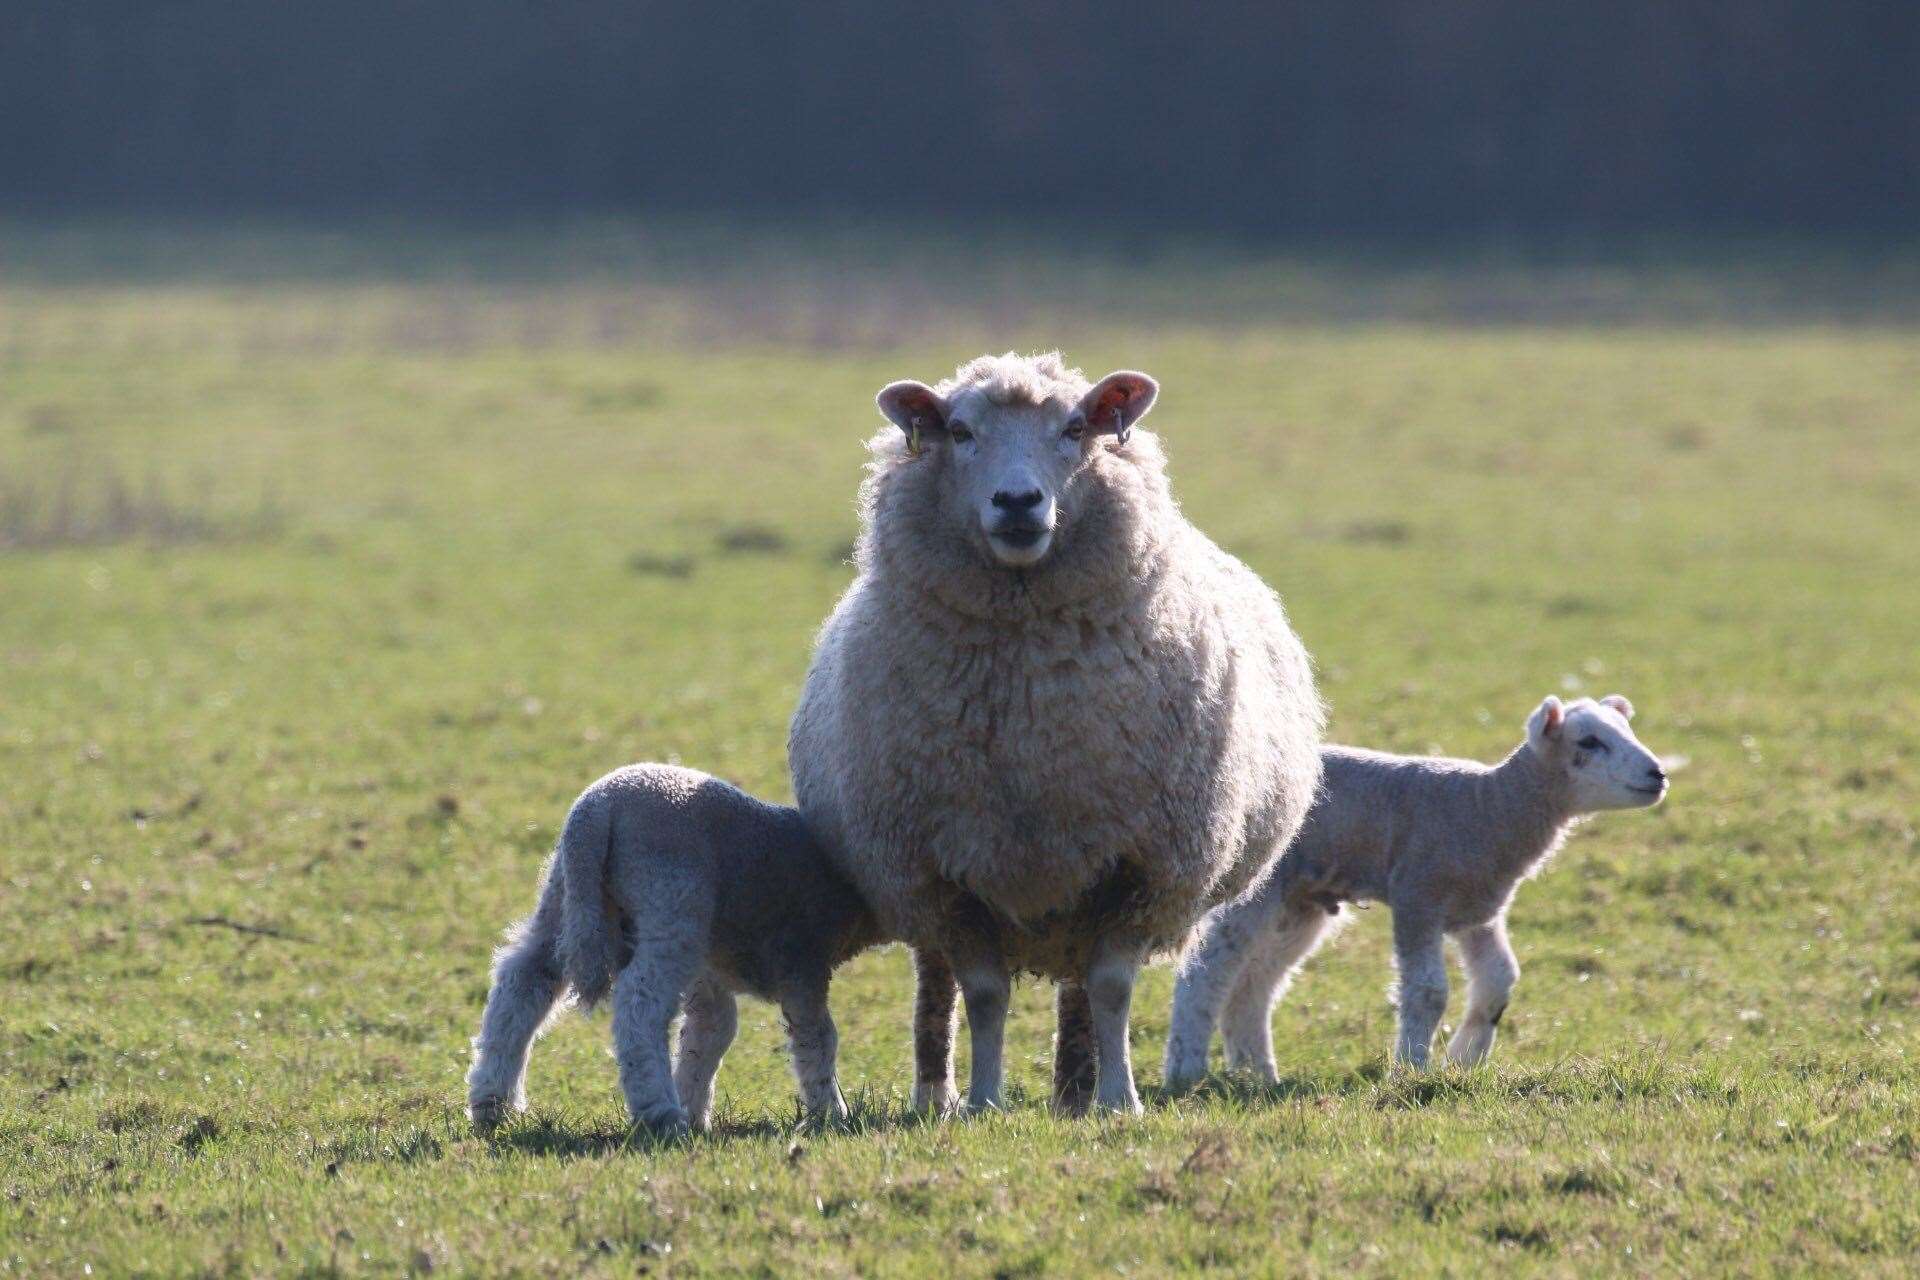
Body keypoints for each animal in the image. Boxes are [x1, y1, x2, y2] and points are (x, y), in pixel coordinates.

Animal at [464, 767, 883, 1136]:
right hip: (671, 901)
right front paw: (831, 1113)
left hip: (566, 896)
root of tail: (597, 810)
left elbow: (709, 1031)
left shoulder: (711, 971)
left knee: (524, 980)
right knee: (639, 1004)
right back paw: (659, 1113)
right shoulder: (802, 960)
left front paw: (694, 1108)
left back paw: (492, 1102)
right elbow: (817, 1036)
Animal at [787, 355, 1328, 1113]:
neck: (1030, 715)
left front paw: (1119, 1100)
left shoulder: (1139, 865)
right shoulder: (948, 874)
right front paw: (983, 1101)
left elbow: (1111, 988)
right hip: (914, 879)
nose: (1018, 501)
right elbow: (984, 995)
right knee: (935, 984)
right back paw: (935, 1094)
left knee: (1077, 986)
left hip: (1079, 877)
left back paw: (1075, 1090)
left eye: (1075, 428)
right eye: (959, 431)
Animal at [1159, 694, 1674, 1090]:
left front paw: (1464, 1059)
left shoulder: (1480, 908)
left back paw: (1257, 1074)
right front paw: (1412, 1070)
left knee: (1256, 984)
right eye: (1589, 742)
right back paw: (1186, 1070)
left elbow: (1499, 980)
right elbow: (1428, 992)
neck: (1491, 806)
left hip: (1300, 900)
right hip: (1258, 887)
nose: (1658, 774)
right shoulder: (1418, 894)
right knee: (1207, 971)